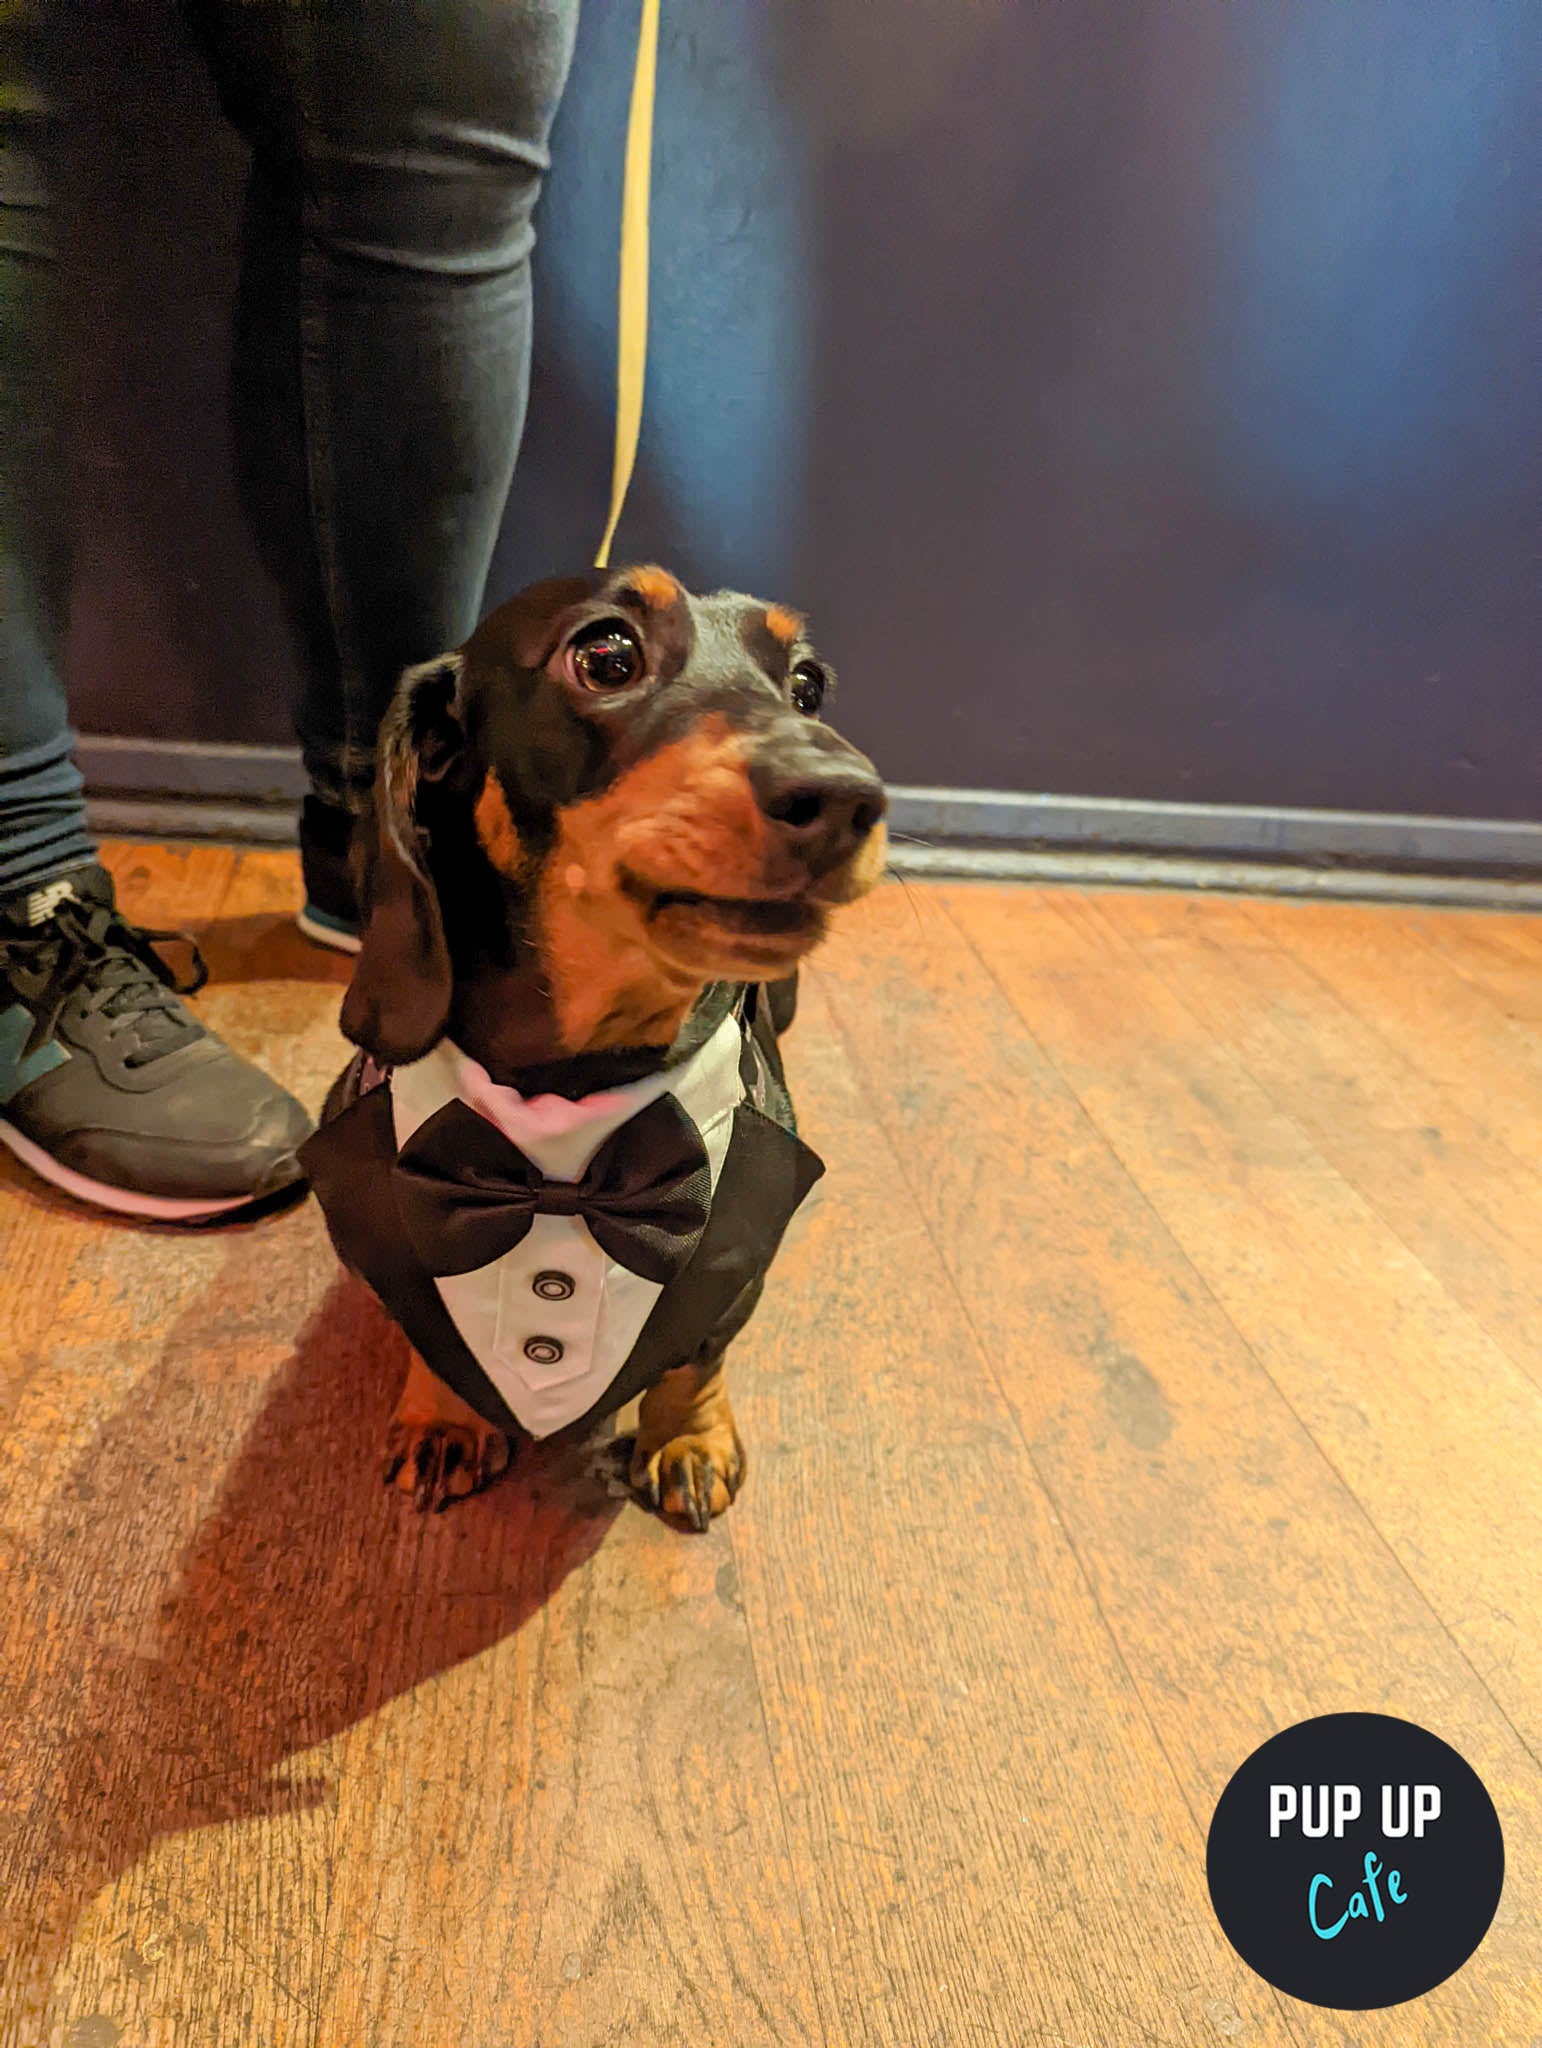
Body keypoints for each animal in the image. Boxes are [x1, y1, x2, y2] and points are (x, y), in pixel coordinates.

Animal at [301, 569, 884, 1531]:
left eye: (807, 687)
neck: (573, 1085)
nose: (847, 797)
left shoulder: (737, 1261)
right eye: (606, 655)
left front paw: (686, 1439)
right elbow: (432, 1331)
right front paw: (443, 1418)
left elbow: (699, 1350)